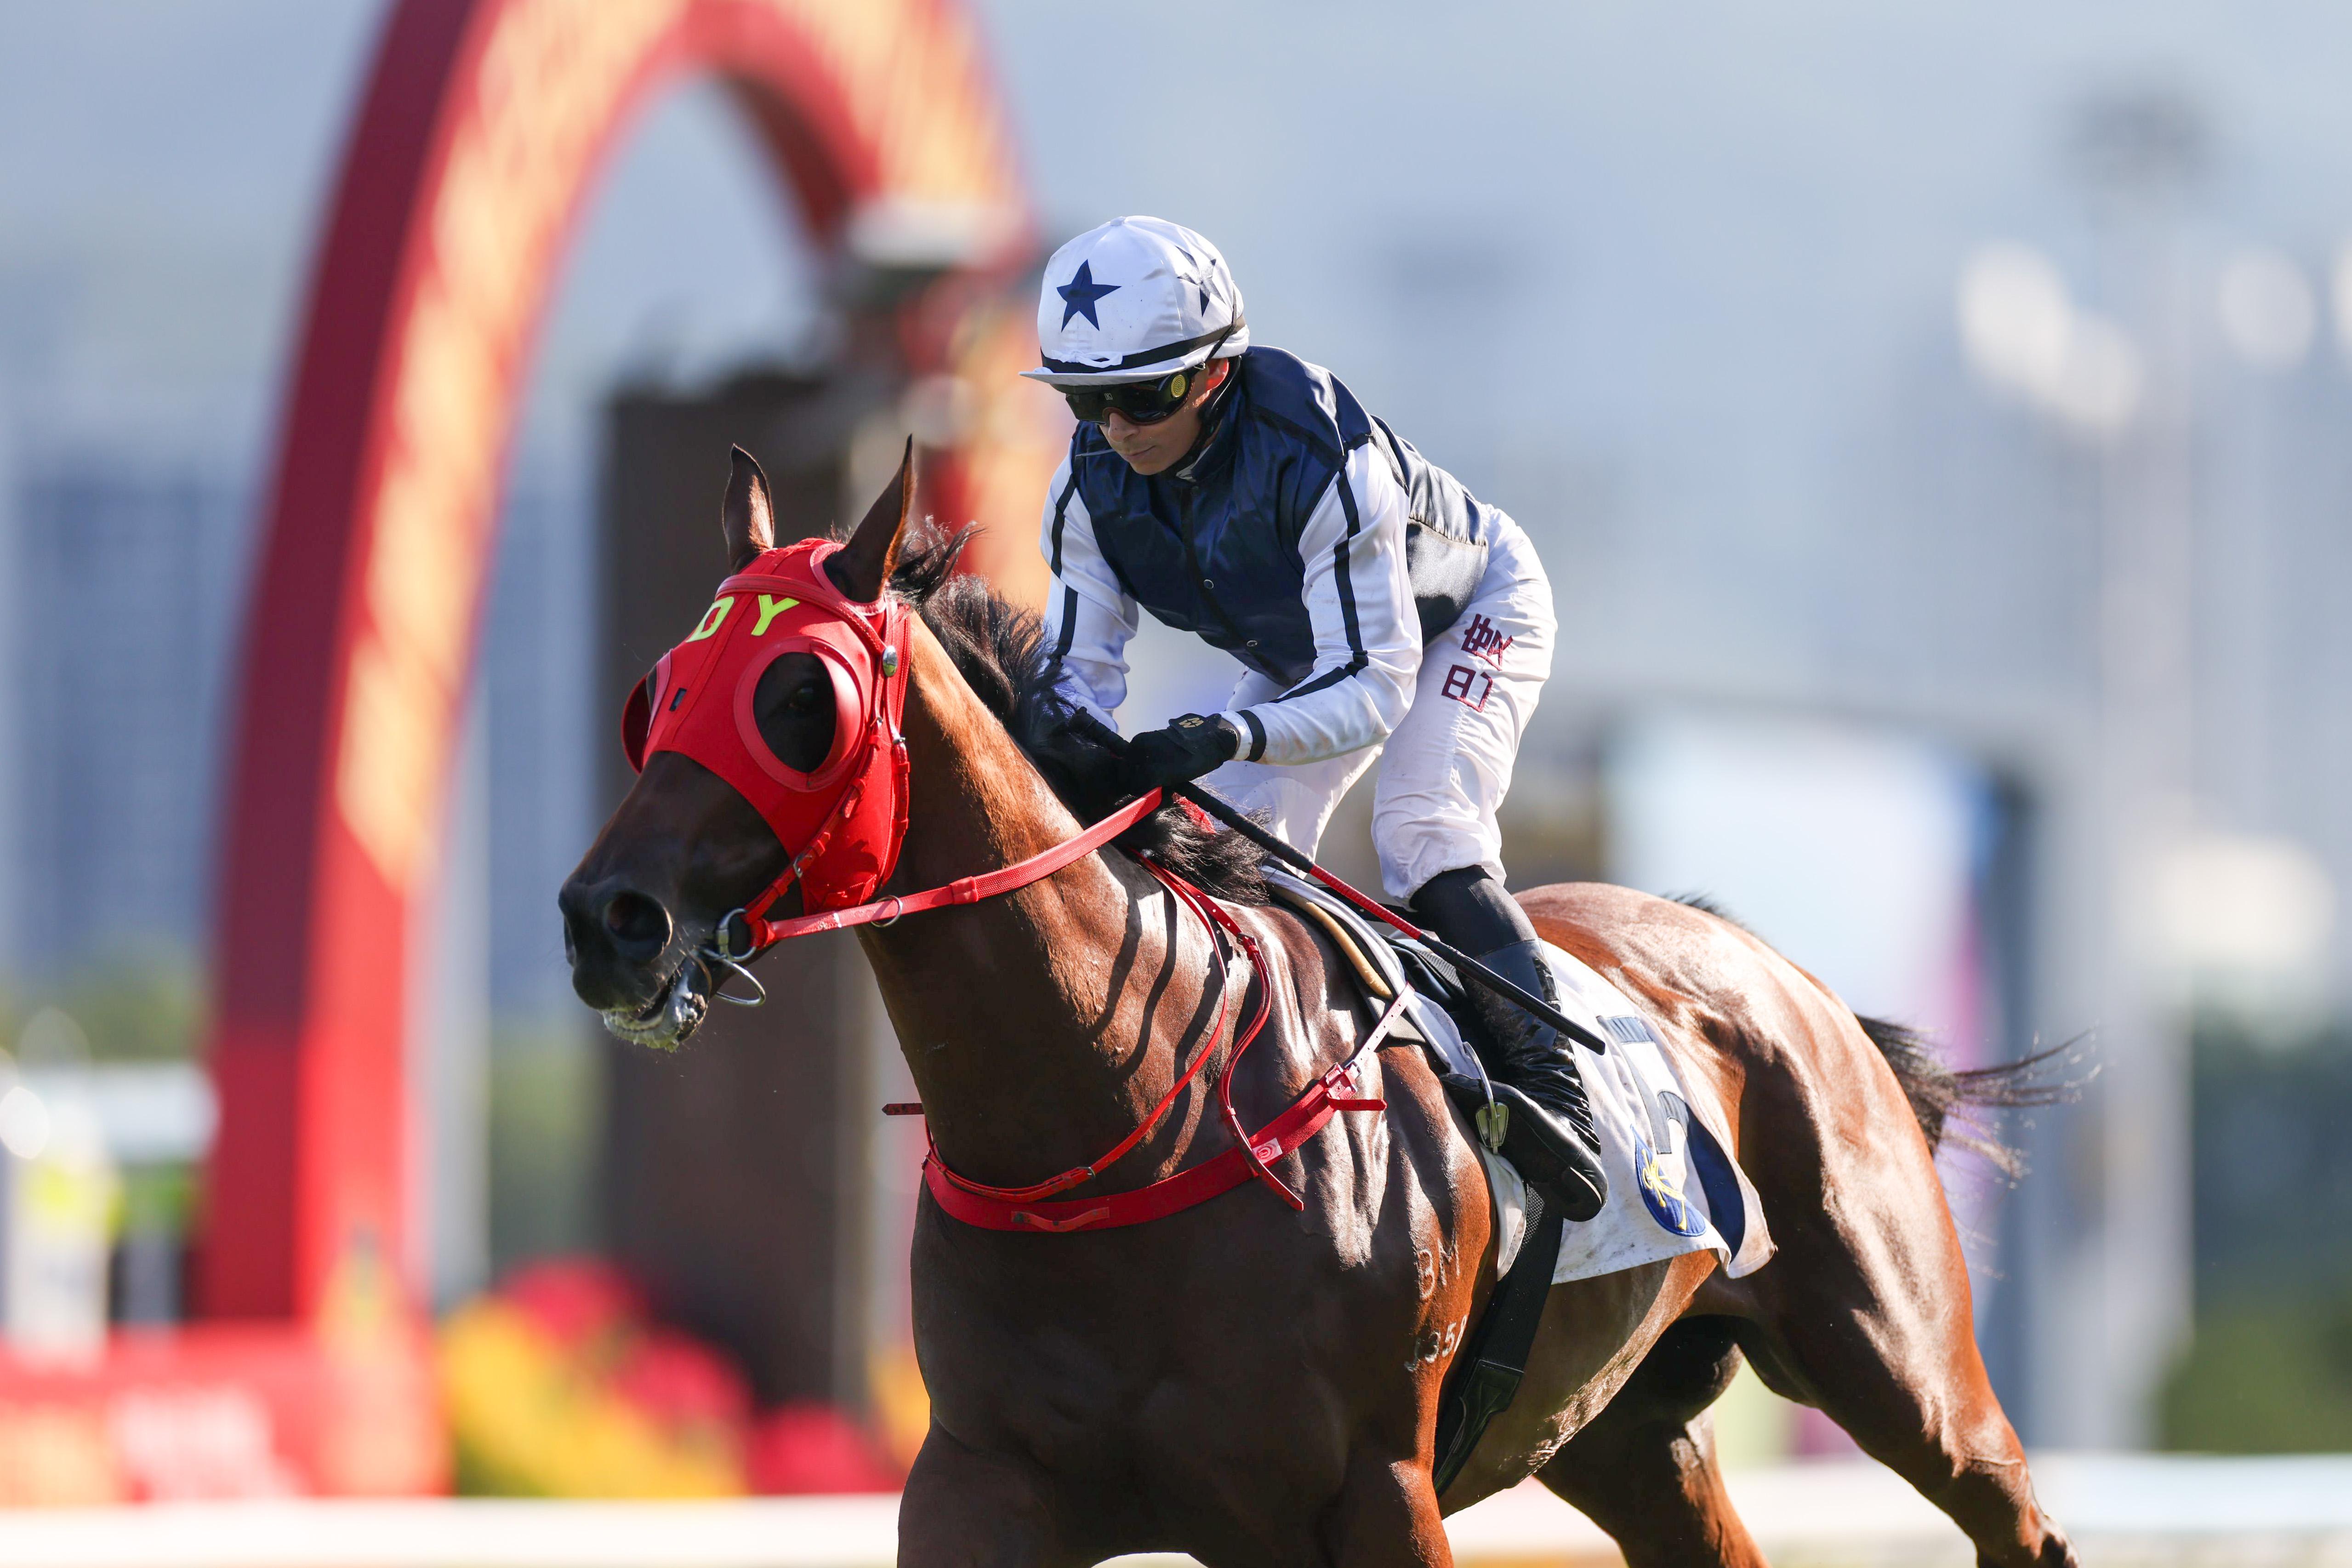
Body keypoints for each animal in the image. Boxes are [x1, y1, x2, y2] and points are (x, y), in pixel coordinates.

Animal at [559, 448, 2077, 1568]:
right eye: (661, 691)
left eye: (797, 699)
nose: (608, 920)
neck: (1119, 1099)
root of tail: (1780, 975)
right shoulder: (983, 1484)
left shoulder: (1370, 1490)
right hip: (1625, 1432)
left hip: (1900, 1366)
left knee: (2012, 1515)